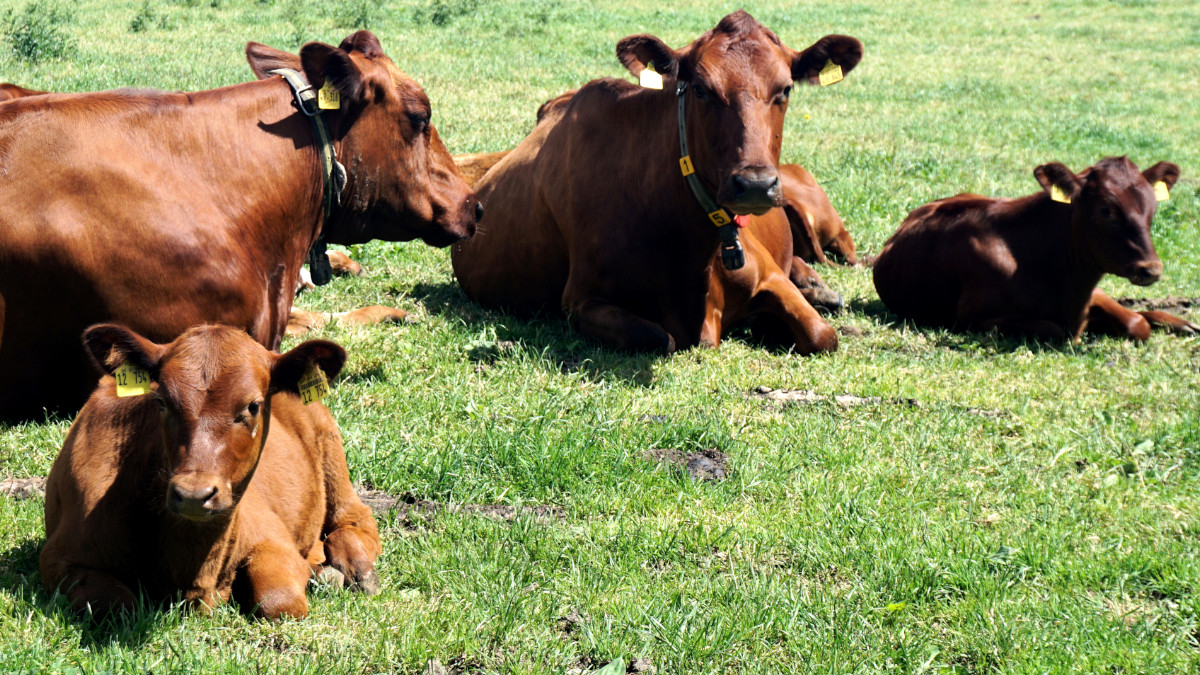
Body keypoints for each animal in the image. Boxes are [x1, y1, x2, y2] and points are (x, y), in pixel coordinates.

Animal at [41, 323, 381, 620]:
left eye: (253, 406)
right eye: (161, 400)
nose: (193, 495)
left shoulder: (272, 539)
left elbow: (279, 602)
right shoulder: (60, 559)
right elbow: (119, 606)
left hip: (331, 451)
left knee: (354, 519)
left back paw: (356, 568)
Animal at [450, 11, 862, 354]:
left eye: (786, 89)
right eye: (700, 88)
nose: (756, 184)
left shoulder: (770, 276)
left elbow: (823, 336)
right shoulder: (582, 299)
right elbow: (658, 338)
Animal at [872, 157, 1197, 341]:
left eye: (1152, 207)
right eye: (1106, 210)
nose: (1151, 269)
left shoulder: (1091, 293)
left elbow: (1136, 323)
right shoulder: (972, 317)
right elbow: (1054, 330)